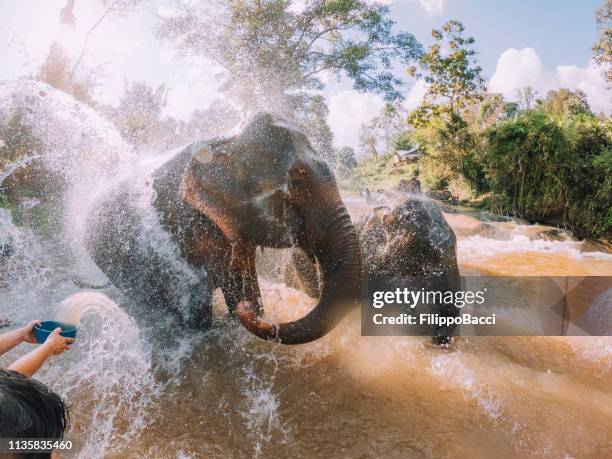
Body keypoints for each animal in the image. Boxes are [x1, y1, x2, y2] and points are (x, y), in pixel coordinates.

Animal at [86, 113, 364, 344]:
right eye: (295, 183)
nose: (245, 310)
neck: (226, 141)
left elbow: (242, 283)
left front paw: (243, 307)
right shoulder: (174, 229)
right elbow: (196, 310)